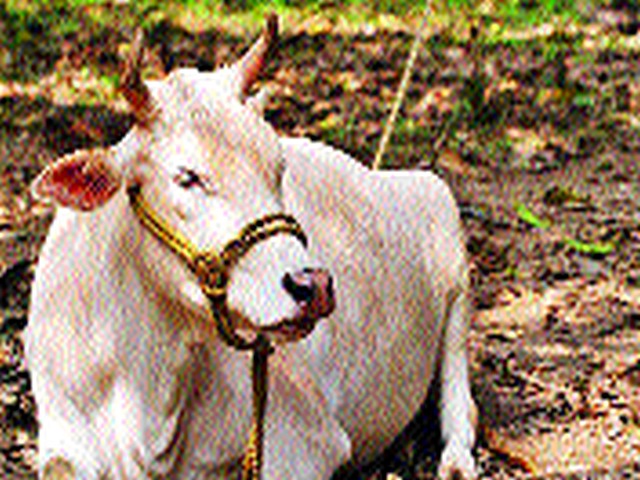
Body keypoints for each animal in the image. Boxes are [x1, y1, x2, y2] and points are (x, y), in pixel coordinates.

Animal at [24, 15, 477, 480]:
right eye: (187, 177)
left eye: (278, 166)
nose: (313, 286)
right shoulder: (61, 437)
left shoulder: (311, 440)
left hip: (454, 263)